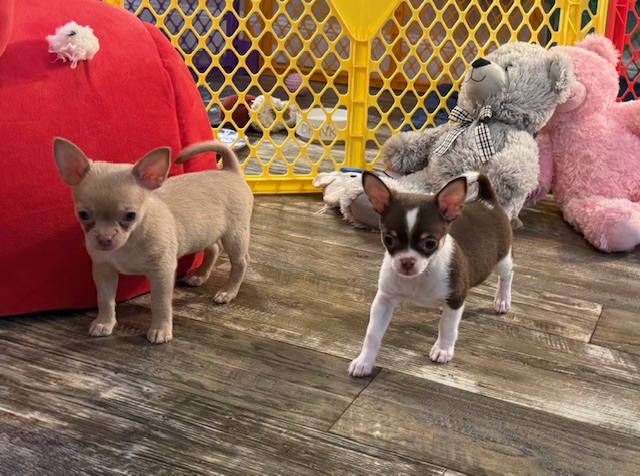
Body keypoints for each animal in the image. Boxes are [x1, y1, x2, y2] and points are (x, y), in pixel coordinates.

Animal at [53, 138, 253, 344]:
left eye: (130, 216)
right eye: (83, 215)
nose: (104, 239)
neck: (130, 240)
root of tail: (229, 170)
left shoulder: (161, 272)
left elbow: (160, 303)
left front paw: (160, 329)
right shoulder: (103, 270)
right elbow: (105, 299)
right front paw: (104, 322)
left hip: (235, 236)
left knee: (241, 262)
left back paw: (228, 292)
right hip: (205, 232)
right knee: (213, 249)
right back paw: (199, 275)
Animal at [348, 171, 513, 377]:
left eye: (430, 243)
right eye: (388, 239)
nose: (407, 261)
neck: (422, 274)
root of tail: (487, 200)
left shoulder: (456, 298)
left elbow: (447, 327)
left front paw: (443, 349)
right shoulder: (384, 300)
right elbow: (372, 333)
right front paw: (364, 361)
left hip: (501, 261)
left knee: (508, 274)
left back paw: (502, 299)